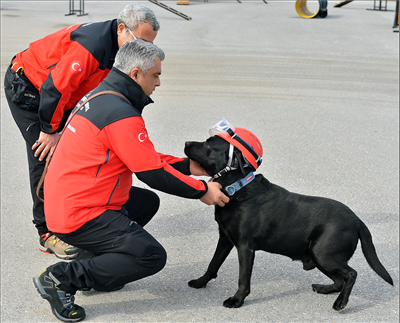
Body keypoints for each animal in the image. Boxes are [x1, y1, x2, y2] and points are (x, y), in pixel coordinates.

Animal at [185, 136, 394, 312]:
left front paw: (237, 300)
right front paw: (200, 282)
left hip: (323, 254)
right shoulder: (225, 238)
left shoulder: (244, 247)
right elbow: (213, 264)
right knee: (340, 280)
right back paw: (324, 289)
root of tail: (357, 220)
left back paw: (340, 303)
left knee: (351, 274)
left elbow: (243, 279)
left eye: (208, 144)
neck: (238, 188)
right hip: (319, 256)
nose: (186, 142)